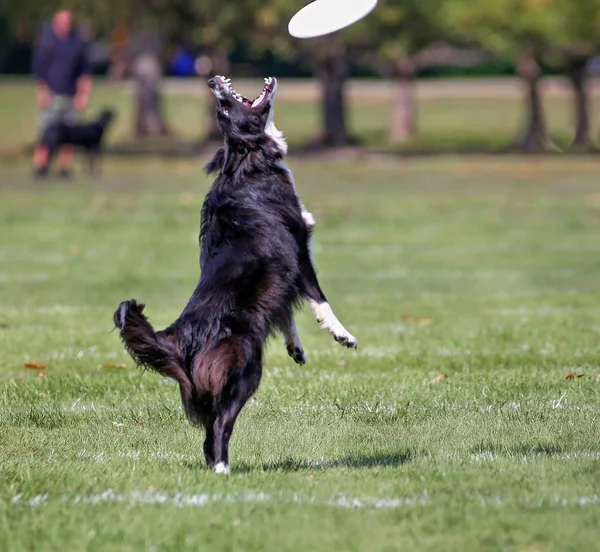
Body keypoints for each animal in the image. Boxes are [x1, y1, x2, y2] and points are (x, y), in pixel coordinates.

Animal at [115, 77, 354, 474]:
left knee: (207, 433)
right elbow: (319, 299)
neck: (249, 163)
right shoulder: (298, 250)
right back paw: (224, 469)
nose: (212, 81)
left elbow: (285, 311)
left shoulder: (281, 272)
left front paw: (296, 347)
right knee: (220, 426)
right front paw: (342, 335)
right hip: (245, 371)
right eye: (223, 110)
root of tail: (180, 337)